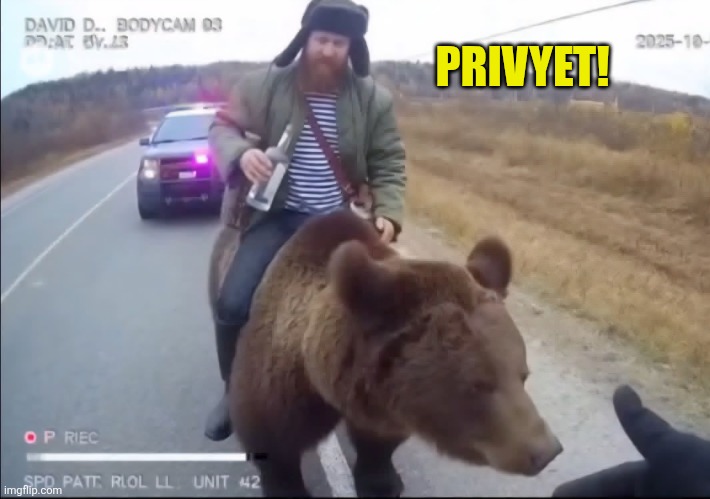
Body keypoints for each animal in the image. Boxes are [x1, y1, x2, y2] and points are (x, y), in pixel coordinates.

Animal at [207, 209, 563, 497]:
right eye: (479, 383)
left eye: (523, 374)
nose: (546, 451)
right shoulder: (280, 381)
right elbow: (273, 442)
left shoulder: (380, 399)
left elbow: (379, 442)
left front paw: (382, 481)